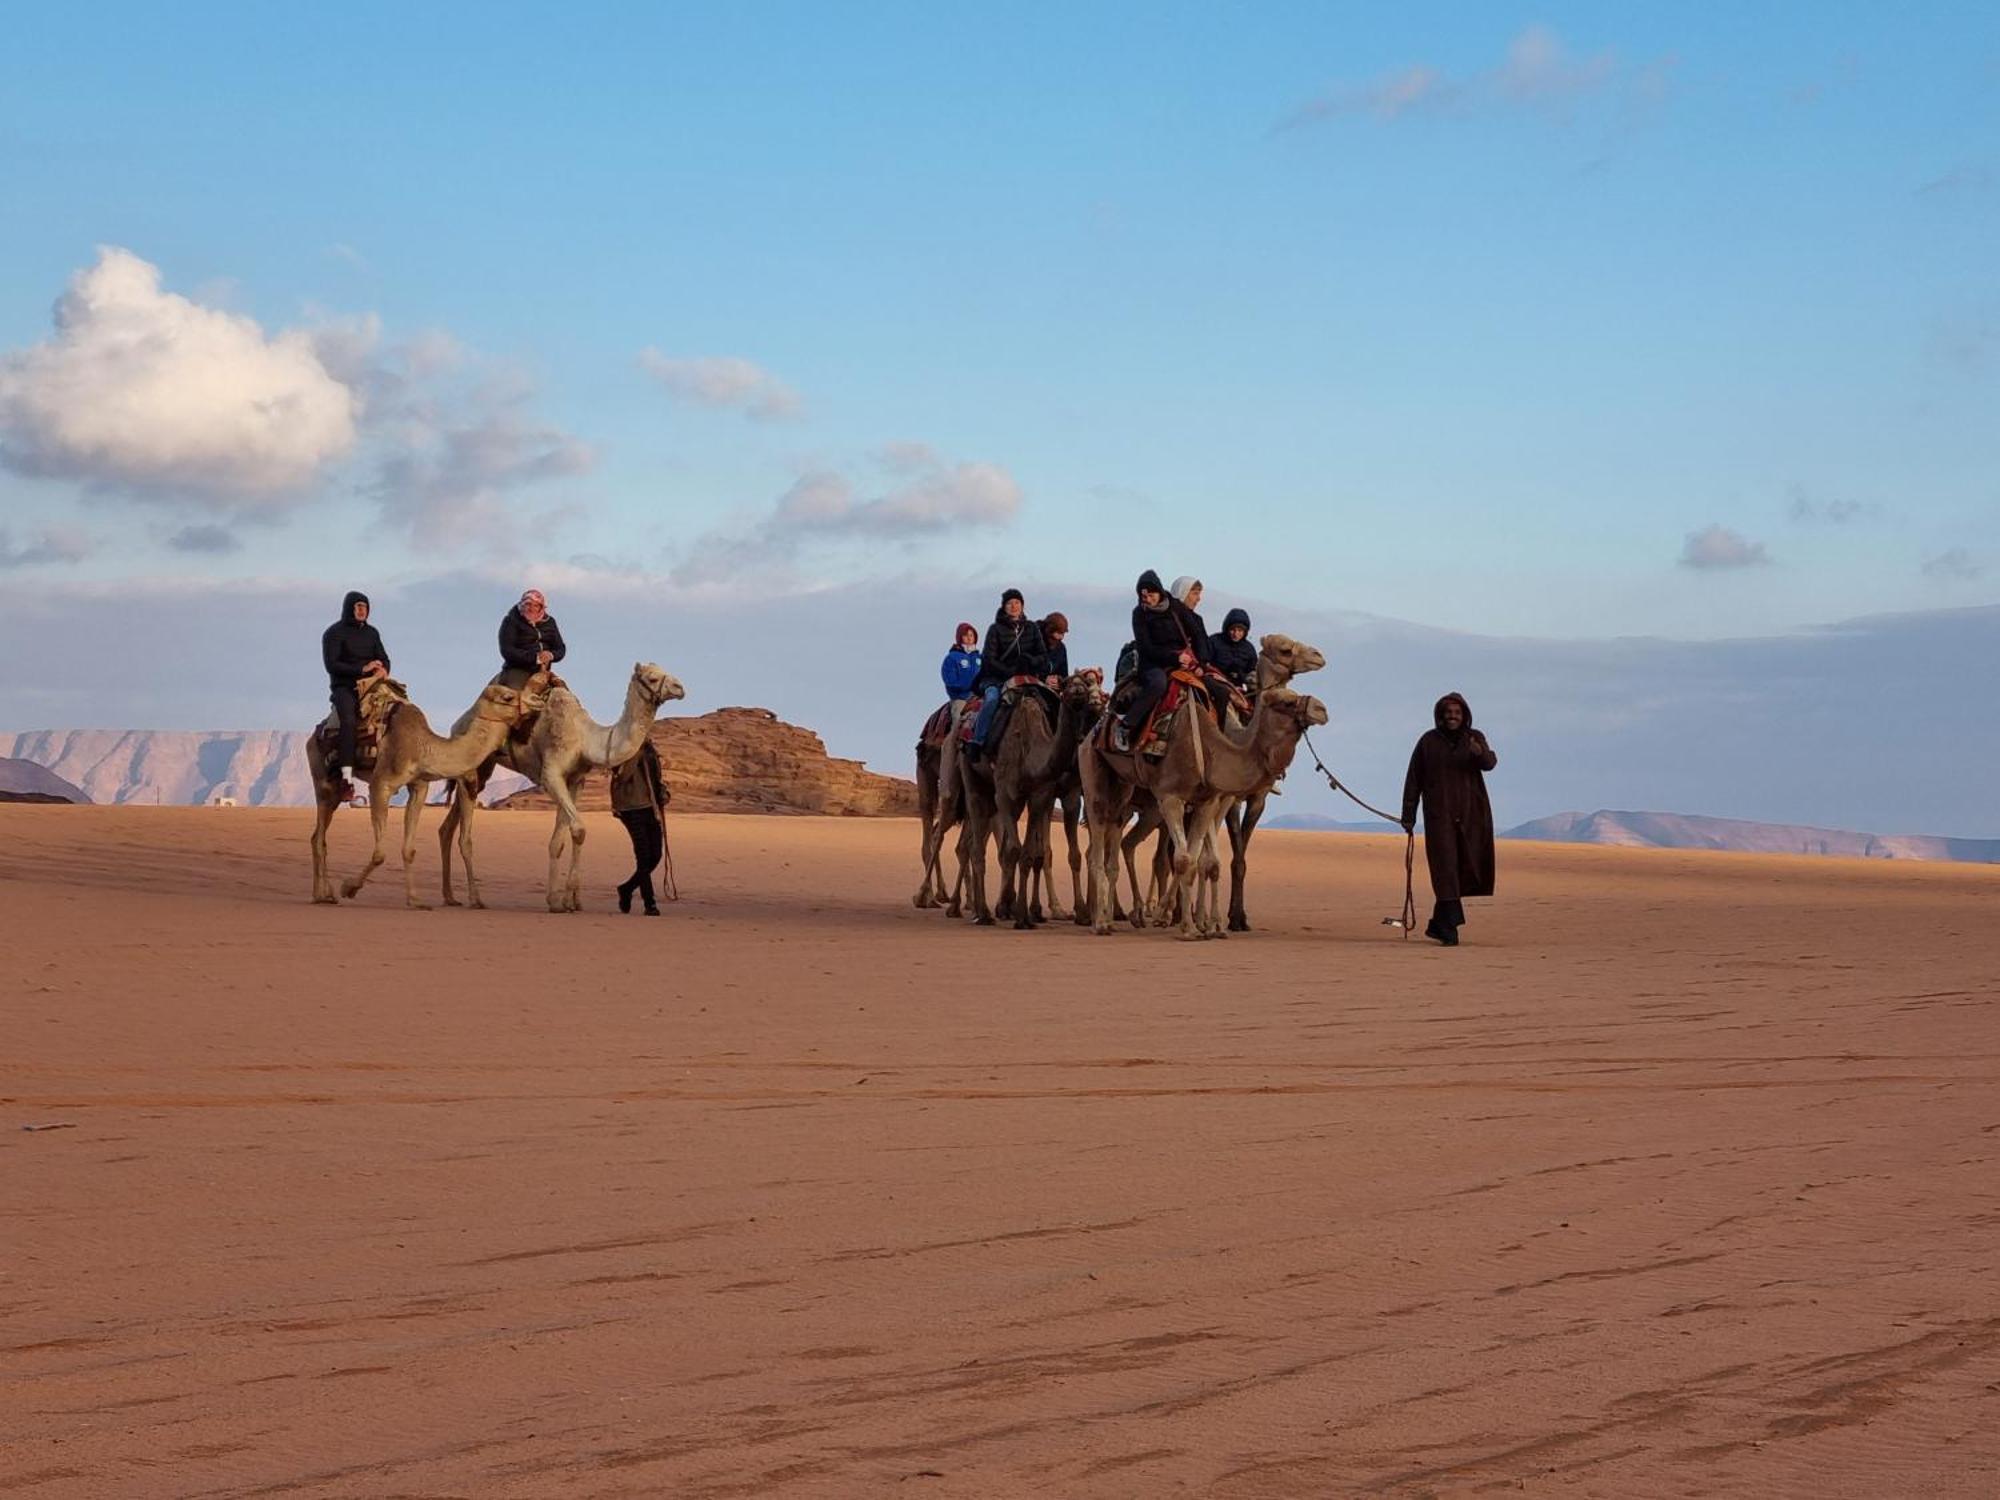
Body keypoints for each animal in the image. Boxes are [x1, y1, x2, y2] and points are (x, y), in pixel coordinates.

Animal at [336, 680, 552, 912]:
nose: (538, 699)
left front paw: (415, 900)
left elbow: (409, 848)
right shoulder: (380, 785)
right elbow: (379, 854)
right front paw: (348, 888)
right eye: (507, 696)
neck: (424, 747)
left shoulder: (420, 786)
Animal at [438, 668, 688, 916]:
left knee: (448, 826)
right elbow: (578, 829)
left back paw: (450, 897)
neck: (584, 738)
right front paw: (562, 901)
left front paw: (566, 902)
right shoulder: (551, 775)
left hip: (482, 768)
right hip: (473, 763)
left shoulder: (575, 780)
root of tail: (456, 725)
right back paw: (475, 899)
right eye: (652, 677)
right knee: (465, 834)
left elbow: (561, 840)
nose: (680, 687)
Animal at [1080, 688, 1328, 944]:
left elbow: (1202, 861)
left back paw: (1116, 917)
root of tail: (1092, 734)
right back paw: (1100, 922)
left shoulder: (1207, 802)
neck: (1210, 752)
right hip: (1093, 769)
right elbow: (1183, 859)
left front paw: (1203, 926)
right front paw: (1188, 925)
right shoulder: (1171, 799)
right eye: (1286, 702)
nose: (1321, 710)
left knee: (1117, 841)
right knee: (1098, 840)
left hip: (1123, 791)